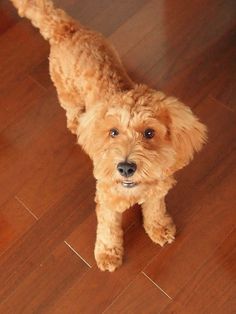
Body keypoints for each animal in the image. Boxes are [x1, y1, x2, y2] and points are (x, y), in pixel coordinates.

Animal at [10, 0, 207, 272]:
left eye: (149, 133)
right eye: (113, 132)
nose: (125, 167)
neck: (133, 189)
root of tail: (66, 29)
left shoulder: (157, 191)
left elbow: (155, 210)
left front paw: (159, 228)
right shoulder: (107, 200)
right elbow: (108, 229)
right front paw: (107, 254)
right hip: (66, 90)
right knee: (71, 109)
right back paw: (76, 124)